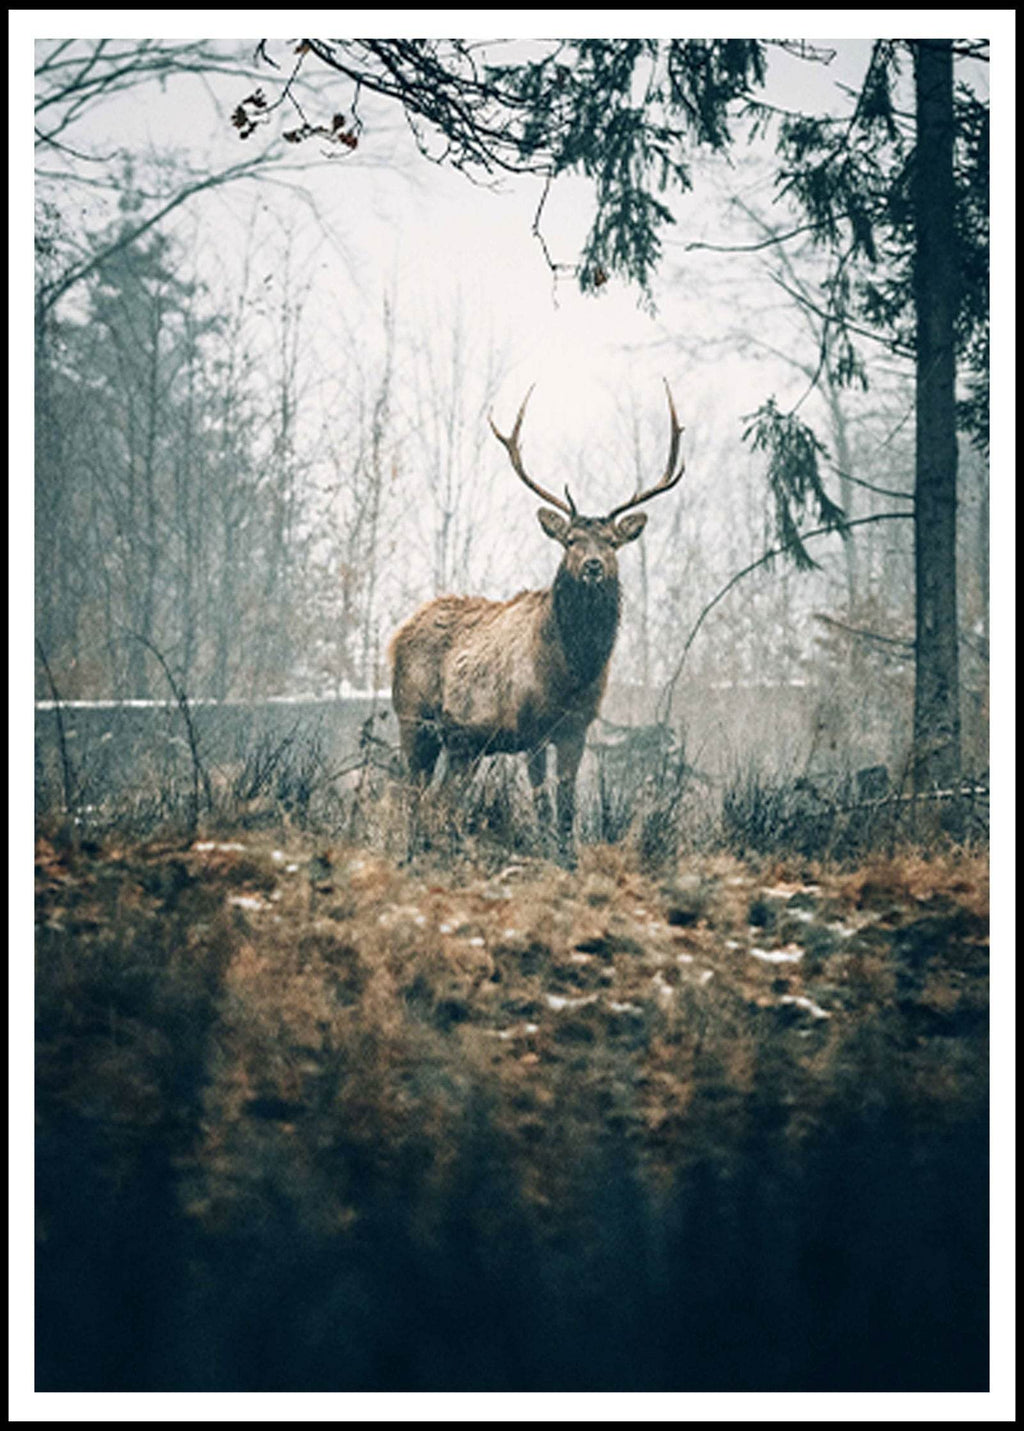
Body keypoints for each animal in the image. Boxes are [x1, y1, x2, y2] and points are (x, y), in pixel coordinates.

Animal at [388, 382, 685, 852]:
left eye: (611, 542)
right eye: (571, 540)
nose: (593, 566)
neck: (570, 672)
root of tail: (397, 636)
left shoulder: (576, 729)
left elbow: (566, 804)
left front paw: (566, 852)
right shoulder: (530, 728)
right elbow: (542, 800)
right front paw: (544, 849)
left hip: (463, 744)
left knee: (441, 799)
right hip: (414, 718)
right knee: (413, 792)